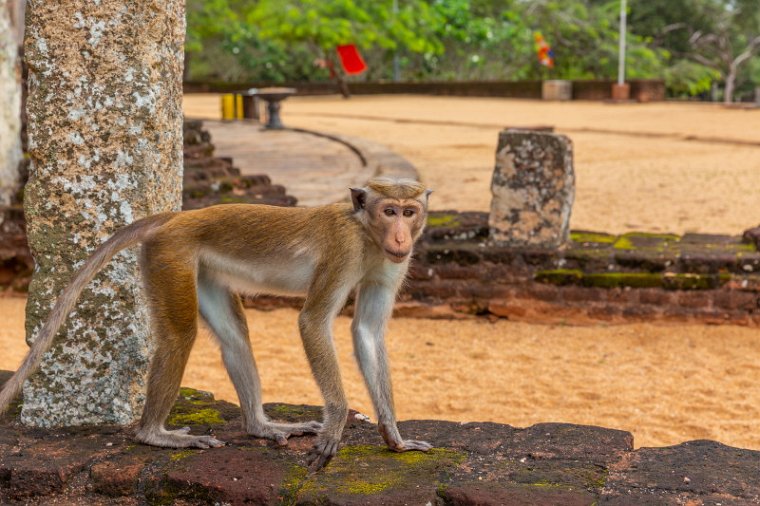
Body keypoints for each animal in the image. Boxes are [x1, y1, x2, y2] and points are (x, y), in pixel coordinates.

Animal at [0, 176, 434, 468]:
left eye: (409, 212)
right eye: (389, 211)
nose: (400, 237)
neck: (368, 235)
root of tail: (176, 218)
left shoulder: (393, 263)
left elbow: (367, 333)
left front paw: (395, 438)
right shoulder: (343, 250)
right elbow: (312, 322)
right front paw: (336, 425)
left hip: (203, 270)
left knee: (234, 337)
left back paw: (260, 426)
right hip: (170, 256)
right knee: (179, 336)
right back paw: (155, 435)